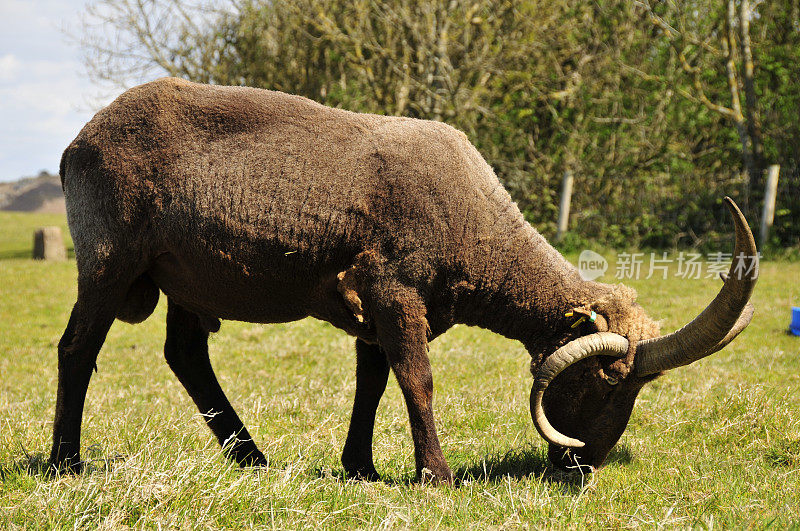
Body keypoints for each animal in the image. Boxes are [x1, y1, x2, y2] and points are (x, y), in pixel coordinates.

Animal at [51, 79, 756, 482]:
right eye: (606, 380)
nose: (582, 467)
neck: (478, 227)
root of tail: (80, 140)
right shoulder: (391, 288)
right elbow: (416, 379)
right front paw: (435, 475)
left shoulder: (378, 304)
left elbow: (374, 380)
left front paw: (359, 466)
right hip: (111, 256)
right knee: (77, 349)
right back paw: (66, 463)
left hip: (191, 278)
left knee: (186, 355)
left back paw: (250, 457)